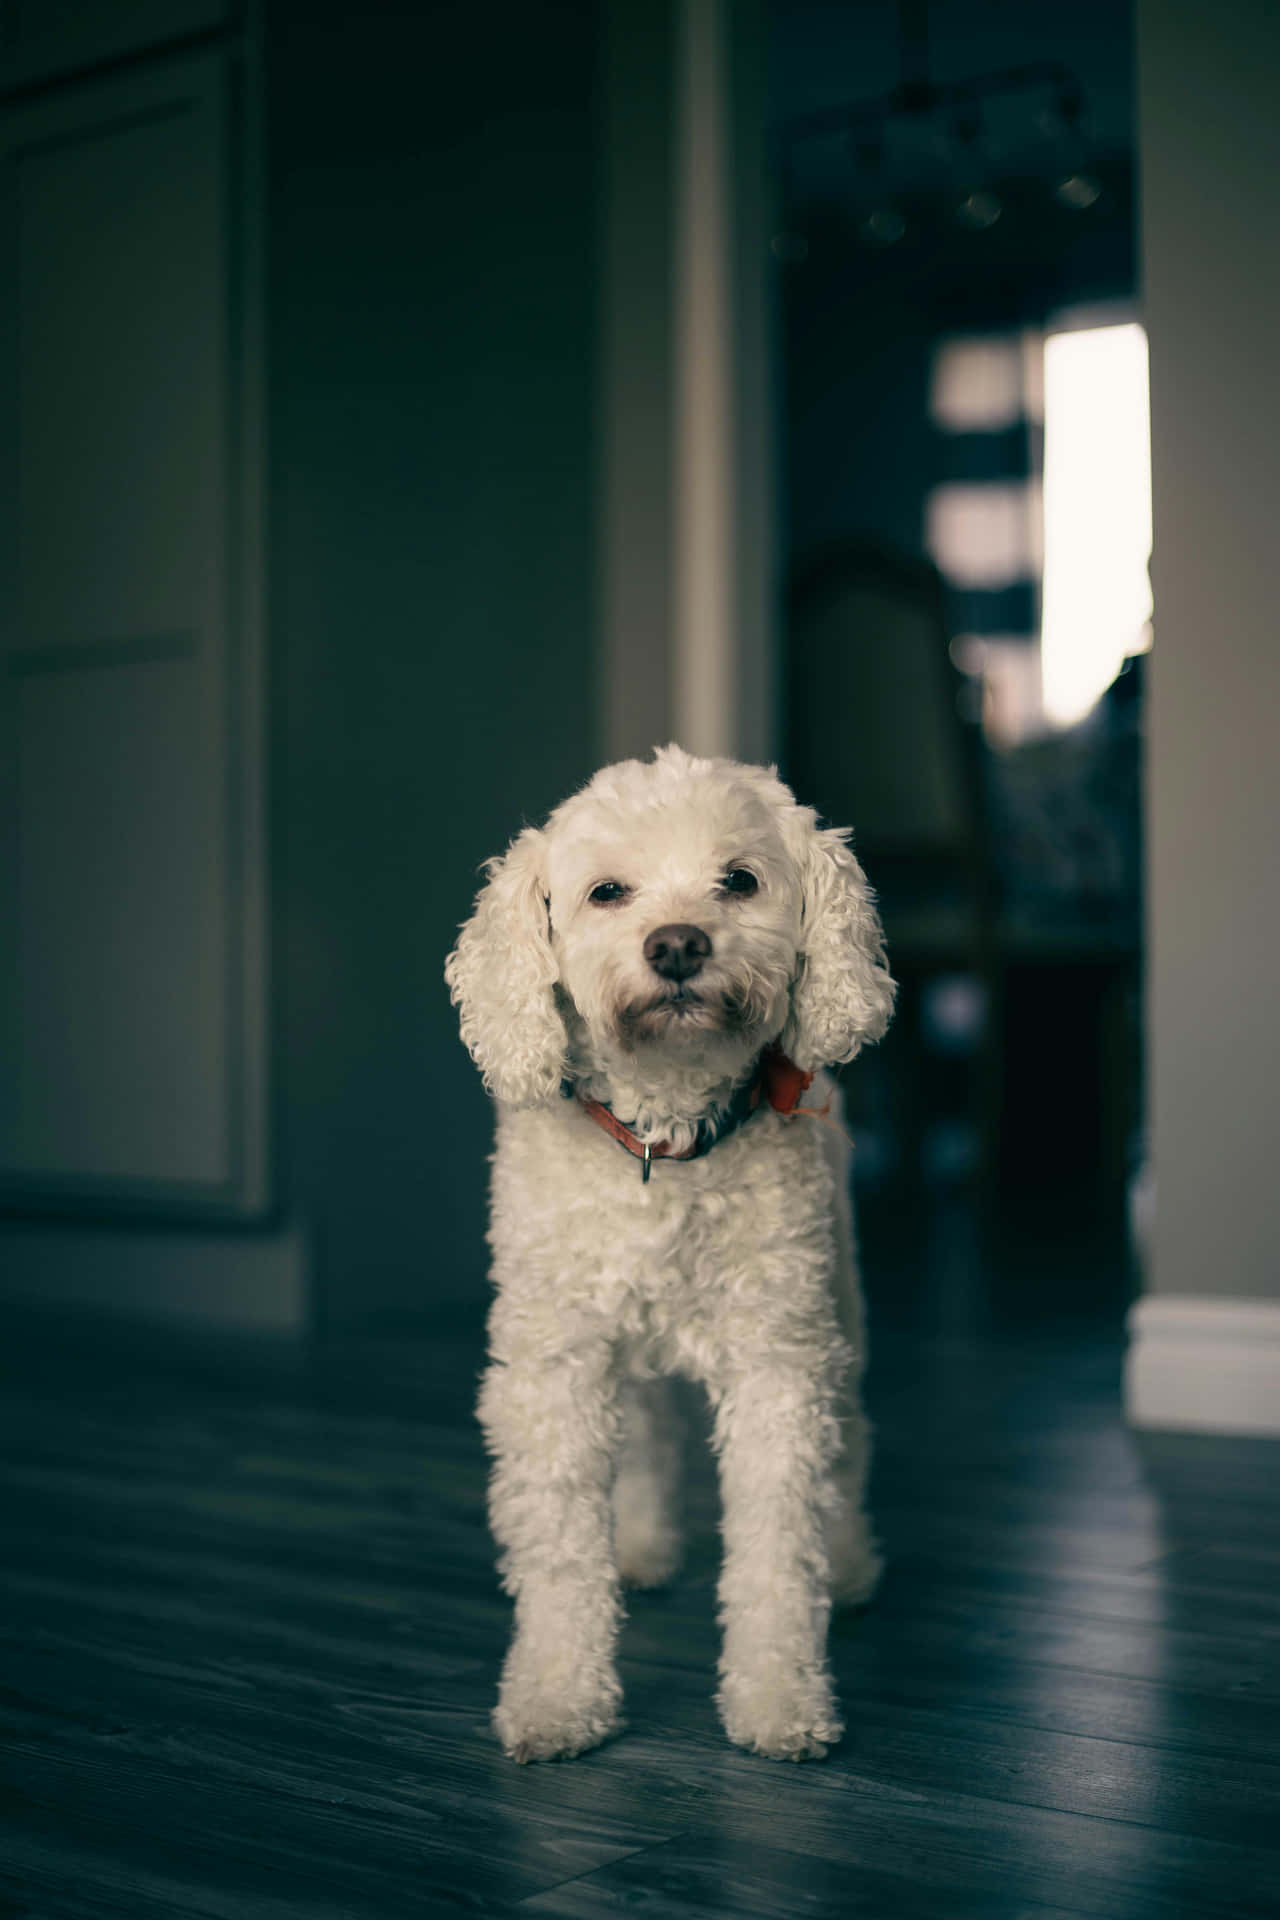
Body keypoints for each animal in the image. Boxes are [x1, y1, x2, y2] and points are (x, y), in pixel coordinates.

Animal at [445, 741, 898, 1758]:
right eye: (607, 892)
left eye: (740, 881)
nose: (679, 944)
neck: (665, 1133)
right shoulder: (556, 1367)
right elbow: (559, 1552)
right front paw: (558, 1695)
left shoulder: (778, 1367)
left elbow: (779, 1549)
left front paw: (780, 1700)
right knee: (649, 1427)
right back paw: (643, 1545)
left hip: (839, 1308)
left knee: (852, 1442)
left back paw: (852, 1561)